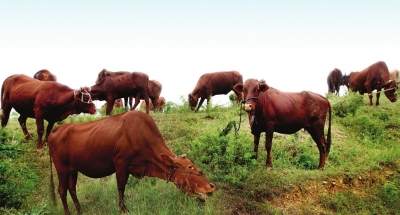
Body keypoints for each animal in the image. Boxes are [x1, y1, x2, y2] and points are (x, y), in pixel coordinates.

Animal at [48, 111, 216, 215]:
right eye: (190, 167)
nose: (211, 186)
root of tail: (56, 129)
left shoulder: (130, 167)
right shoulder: (120, 163)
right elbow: (121, 187)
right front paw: (123, 209)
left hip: (73, 169)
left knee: (71, 188)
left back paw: (80, 211)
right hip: (61, 168)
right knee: (62, 190)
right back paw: (68, 212)